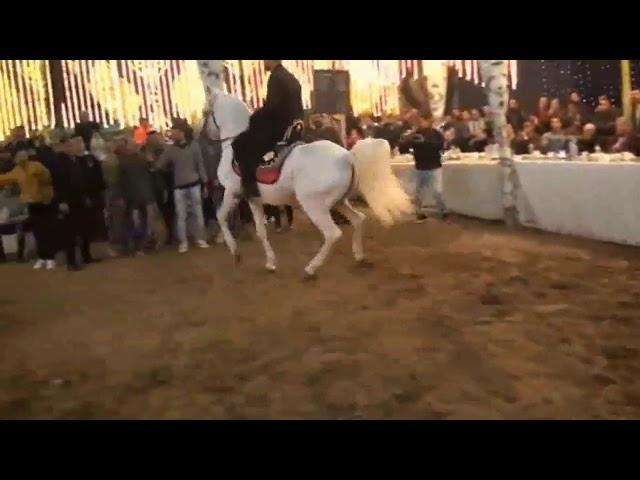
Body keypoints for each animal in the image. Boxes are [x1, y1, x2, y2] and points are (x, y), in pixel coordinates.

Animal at [198, 93, 412, 278]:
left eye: (205, 111)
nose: (203, 135)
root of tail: (347, 156)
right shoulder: (254, 199)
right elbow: (260, 231)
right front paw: (270, 263)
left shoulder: (232, 192)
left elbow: (221, 216)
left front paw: (235, 253)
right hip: (338, 202)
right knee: (358, 219)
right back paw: (359, 257)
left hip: (313, 204)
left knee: (332, 234)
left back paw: (311, 268)